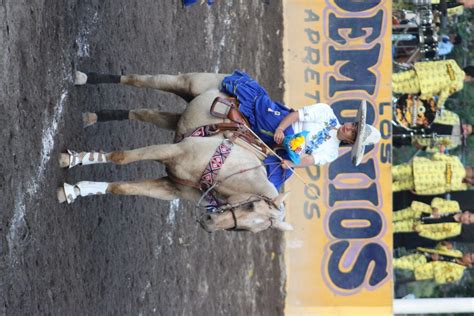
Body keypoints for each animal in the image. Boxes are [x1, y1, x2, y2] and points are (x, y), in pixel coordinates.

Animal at [58, 72, 292, 235]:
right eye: (251, 205)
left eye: (248, 229)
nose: (210, 223)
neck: (227, 173)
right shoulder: (173, 150)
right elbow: (121, 157)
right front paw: (71, 159)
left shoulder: (171, 188)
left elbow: (121, 188)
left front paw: (75, 190)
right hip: (184, 82)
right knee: (138, 80)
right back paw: (82, 77)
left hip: (178, 118)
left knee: (144, 113)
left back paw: (91, 117)